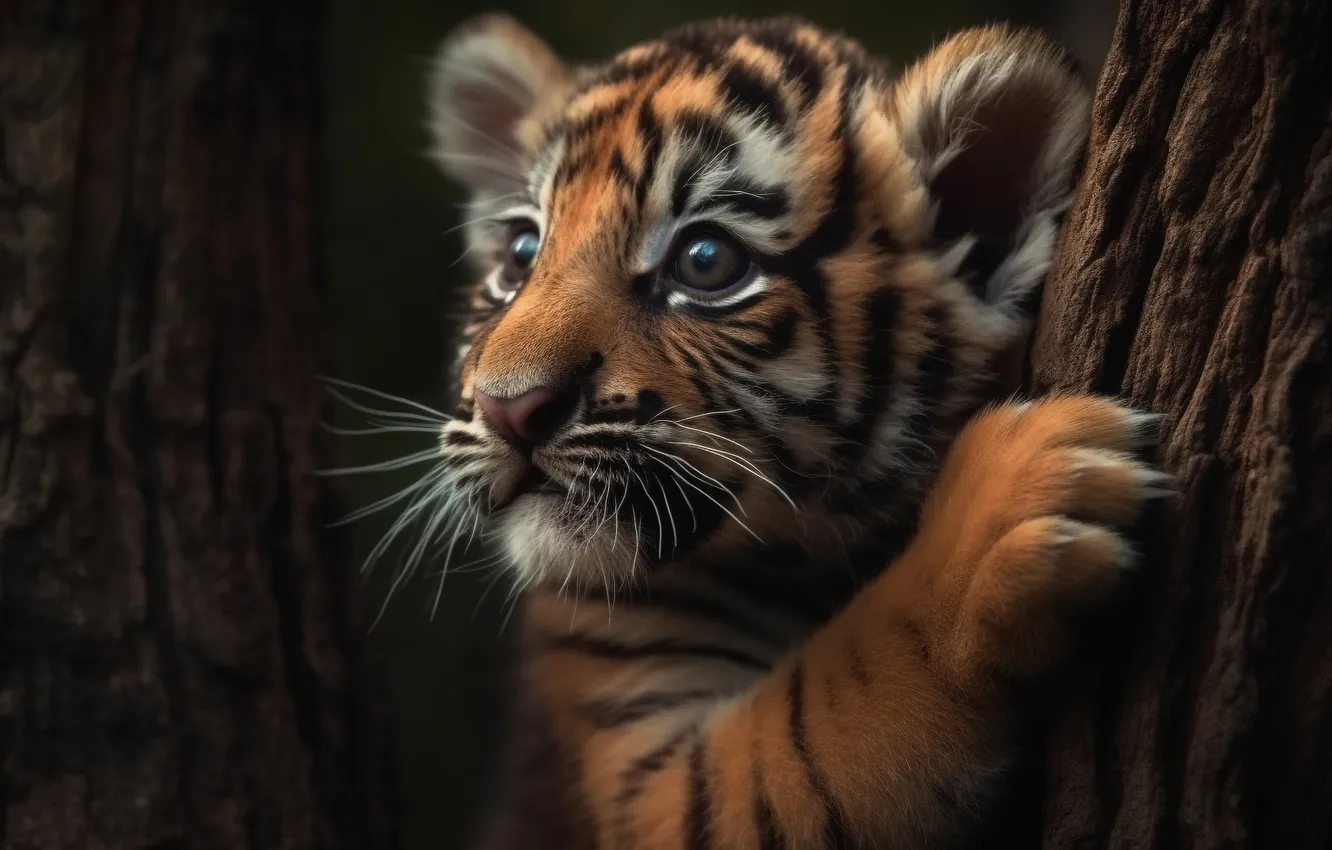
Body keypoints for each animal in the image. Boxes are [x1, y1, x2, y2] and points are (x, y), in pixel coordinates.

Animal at [421, 13, 1169, 850]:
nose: (509, 408)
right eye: (521, 255)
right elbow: (826, 714)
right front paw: (1016, 500)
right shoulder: (646, 771)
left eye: (705, 261)